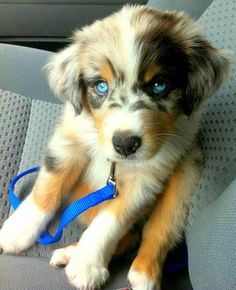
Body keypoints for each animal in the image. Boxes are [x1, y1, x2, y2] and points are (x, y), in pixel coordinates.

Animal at [0, 5, 230, 290]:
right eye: (101, 86)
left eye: (159, 85)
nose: (125, 144)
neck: (116, 163)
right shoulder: (68, 142)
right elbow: (47, 188)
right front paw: (17, 231)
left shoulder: (147, 178)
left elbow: (111, 221)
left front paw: (87, 264)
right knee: (130, 236)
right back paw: (69, 252)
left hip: (187, 175)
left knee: (155, 232)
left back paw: (142, 273)